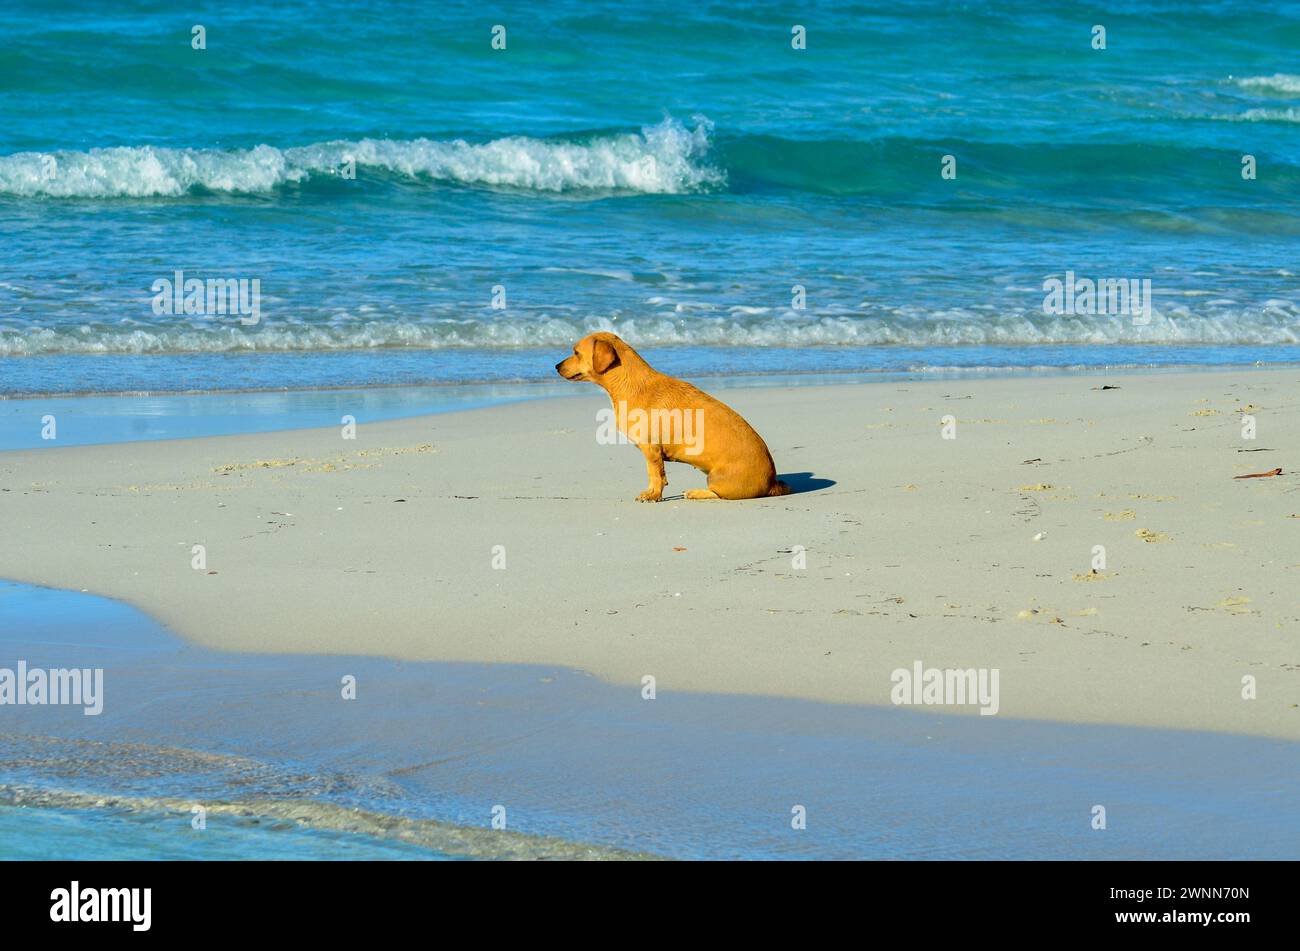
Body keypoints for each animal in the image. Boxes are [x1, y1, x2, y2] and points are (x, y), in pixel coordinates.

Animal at [551, 329, 785, 501]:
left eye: (576, 352)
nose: (555, 366)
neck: (629, 384)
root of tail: (772, 482)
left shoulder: (651, 449)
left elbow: (656, 475)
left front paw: (653, 495)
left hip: (715, 478)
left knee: (718, 495)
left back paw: (695, 492)